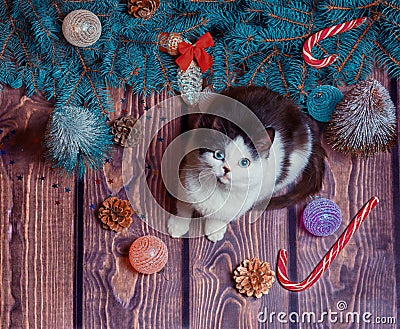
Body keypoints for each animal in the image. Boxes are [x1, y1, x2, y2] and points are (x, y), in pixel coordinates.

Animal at [166, 86, 324, 241]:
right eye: (219, 155)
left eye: (244, 162)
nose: (226, 169)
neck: (218, 189)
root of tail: (298, 112)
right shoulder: (187, 171)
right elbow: (183, 204)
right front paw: (178, 225)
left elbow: (223, 215)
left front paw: (215, 228)